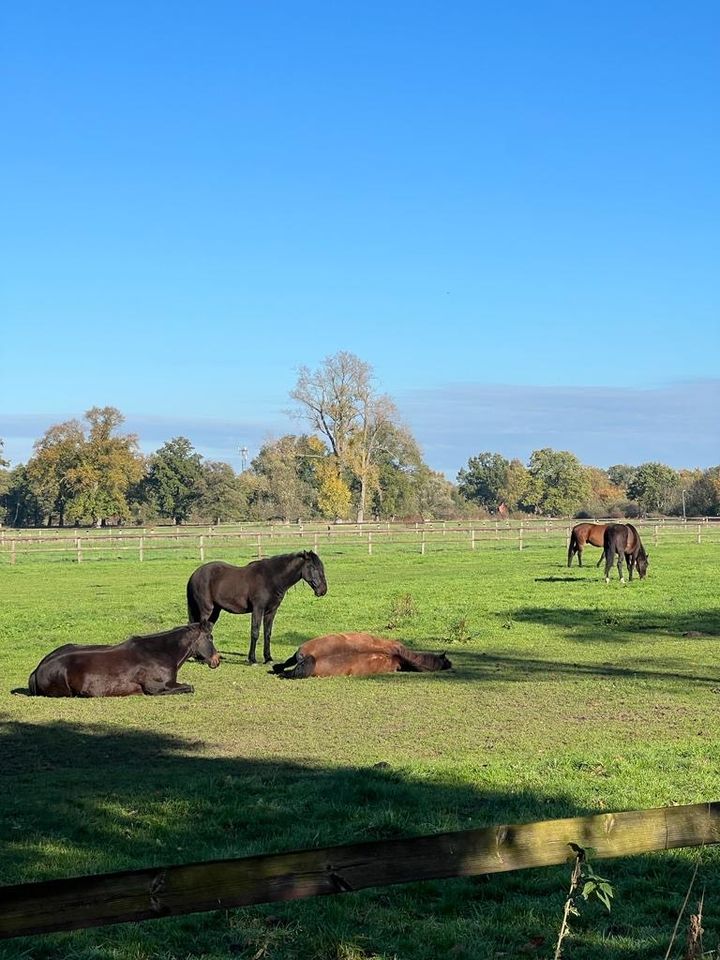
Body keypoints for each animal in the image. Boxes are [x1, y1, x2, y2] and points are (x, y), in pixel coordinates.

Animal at [27, 624, 219, 696]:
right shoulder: (157, 688)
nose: (217, 660)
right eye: (210, 637)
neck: (160, 653)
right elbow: (190, 687)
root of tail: (38, 669)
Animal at [187, 552, 330, 664]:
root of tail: (194, 574)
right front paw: (252, 659)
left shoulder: (271, 612)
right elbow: (255, 632)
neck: (271, 578)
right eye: (313, 567)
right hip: (206, 609)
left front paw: (268, 658)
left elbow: (267, 633)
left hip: (215, 611)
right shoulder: (258, 609)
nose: (323, 590)